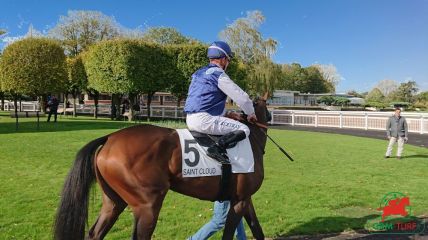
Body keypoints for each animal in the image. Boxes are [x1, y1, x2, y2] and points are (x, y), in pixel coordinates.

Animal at [52, 96, 268, 240]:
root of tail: (110, 138)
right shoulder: (240, 200)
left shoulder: (243, 199)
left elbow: (257, 229)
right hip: (147, 205)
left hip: (113, 202)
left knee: (95, 233)